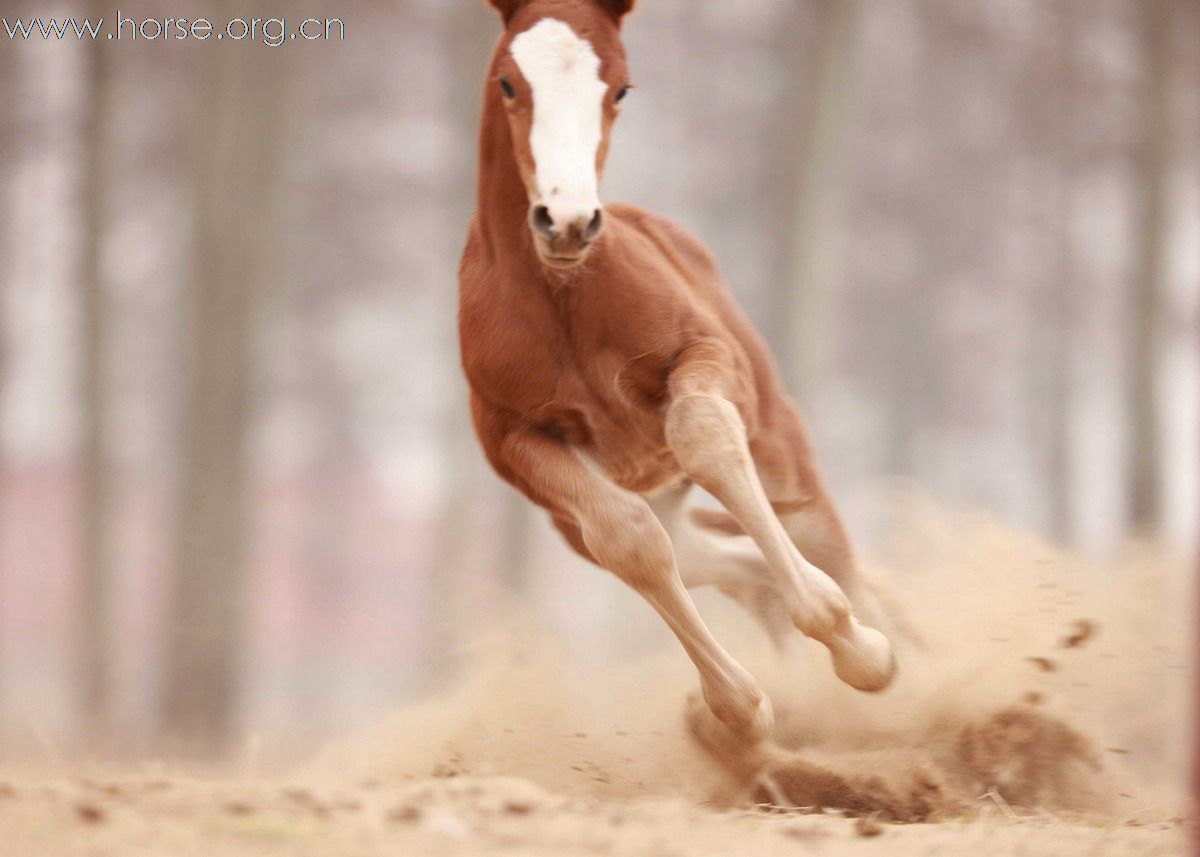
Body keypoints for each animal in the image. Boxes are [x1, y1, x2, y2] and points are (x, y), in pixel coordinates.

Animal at [458, 0, 902, 739]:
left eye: (620, 89)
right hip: (611, 513)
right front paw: (739, 709)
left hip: (780, 452)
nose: (567, 222)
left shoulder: (703, 356)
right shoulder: (511, 438)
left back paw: (899, 657)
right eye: (509, 83)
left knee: (821, 545)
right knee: (725, 561)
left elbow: (704, 433)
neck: (563, 296)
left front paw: (860, 651)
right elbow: (629, 539)